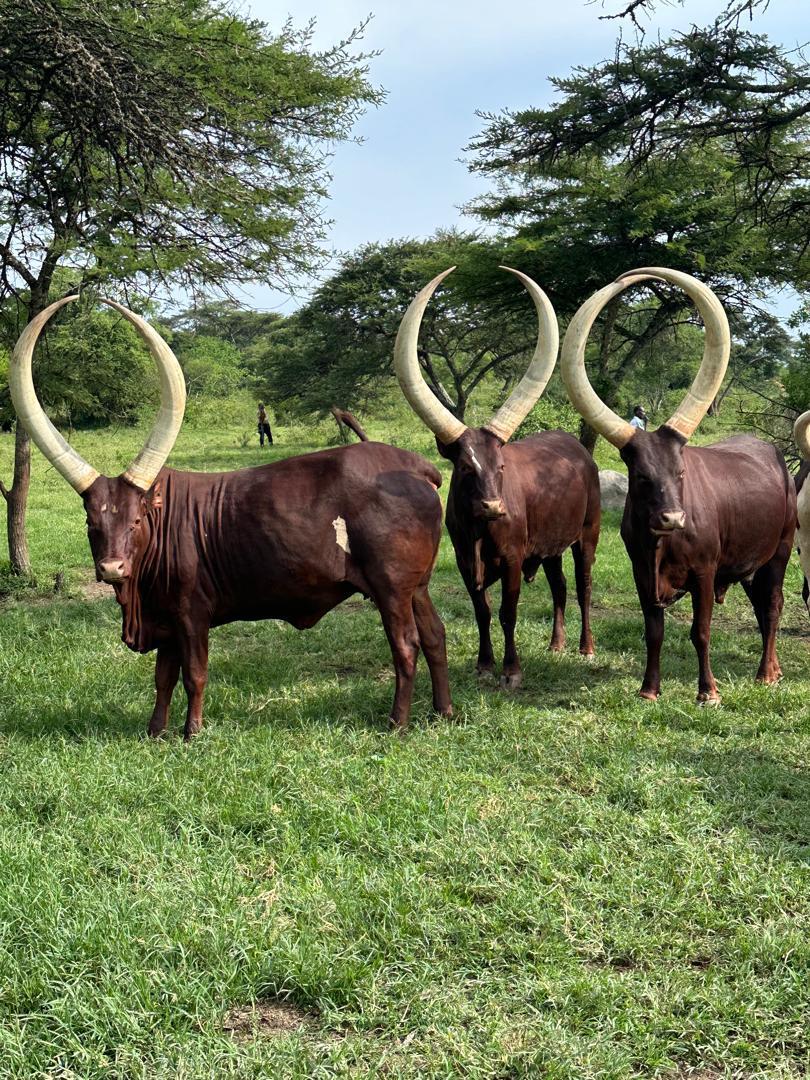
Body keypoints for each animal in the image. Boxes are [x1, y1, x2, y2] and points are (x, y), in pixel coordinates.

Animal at [10, 298, 453, 737]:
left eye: (135, 521)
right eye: (92, 523)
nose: (112, 568)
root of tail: (416, 466)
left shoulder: (191, 615)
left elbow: (194, 675)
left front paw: (191, 732)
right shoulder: (166, 618)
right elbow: (163, 677)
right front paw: (155, 732)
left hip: (391, 588)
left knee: (406, 645)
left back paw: (397, 723)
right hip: (417, 587)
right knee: (434, 635)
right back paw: (443, 712)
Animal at [394, 267, 600, 689]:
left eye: (501, 466)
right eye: (464, 467)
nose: (494, 506)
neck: (478, 531)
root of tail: (579, 450)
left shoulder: (512, 560)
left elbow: (508, 612)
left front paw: (512, 671)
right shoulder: (463, 562)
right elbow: (483, 612)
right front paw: (484, 664)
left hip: (587, 534)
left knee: (583, 587)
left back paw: (586, 648)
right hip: (550, 546)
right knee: (559, 587)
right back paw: (556, 644)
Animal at [561, 267, 796, 704]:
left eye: (681, 472)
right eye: (641, 475)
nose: (672, 518)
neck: (661, 545)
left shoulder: (705, 573)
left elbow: (700, 632)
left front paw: (709, 693)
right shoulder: (642, 574)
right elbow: (653, 633)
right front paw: (649, 689)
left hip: (781, 550)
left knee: (773, 606)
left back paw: (765, 674)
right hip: (749, 563)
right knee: (762, 606)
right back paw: (772, 669)